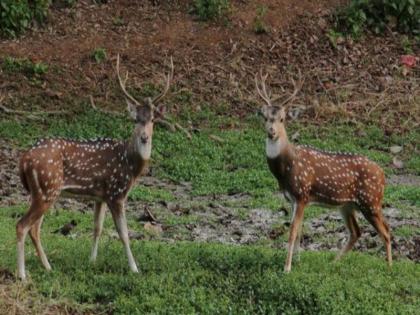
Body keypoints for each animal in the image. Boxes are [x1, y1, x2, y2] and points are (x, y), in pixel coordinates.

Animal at [16, 55, 174, 282]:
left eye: (153, 119)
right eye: (136, 119)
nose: (144, 137)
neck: (130, 165)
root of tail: (24, 159)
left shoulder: (100, 196)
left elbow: (97, 227)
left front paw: (92, 261)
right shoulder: (117, 193)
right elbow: (124, 233)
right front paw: (134, 269)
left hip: (42, 191)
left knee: (34, 228)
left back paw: (47, 267)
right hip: (47, 188)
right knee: (22, 225)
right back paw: (22, 274)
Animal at [254, 70, 392, 272]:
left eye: (282, 119)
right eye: (265, 118)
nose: (271, 131)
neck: (286, 169)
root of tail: (383, 175)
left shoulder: (302, 194)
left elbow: (292, 232)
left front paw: (287, 268)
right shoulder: (293, 199)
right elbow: (299, 230)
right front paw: (298, 261)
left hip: (371, 200)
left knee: (386, 231)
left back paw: (389, 267)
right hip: (347, 205)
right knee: (356, 232)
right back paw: (333, 262)